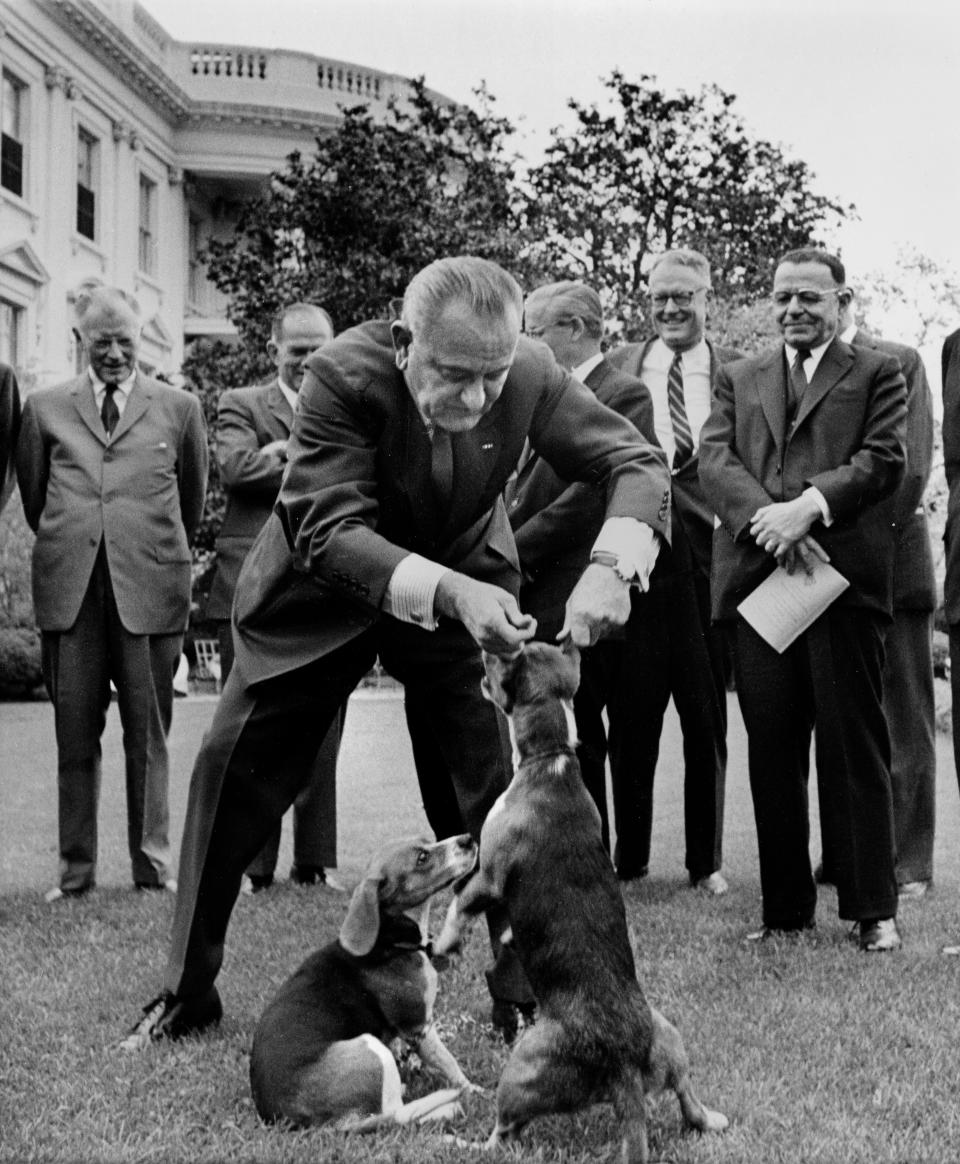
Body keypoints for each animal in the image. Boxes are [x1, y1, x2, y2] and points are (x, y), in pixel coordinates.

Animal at [251, 833, 479, 1131]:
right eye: (422, 858)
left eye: (428, 840)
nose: (468, 839)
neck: (389, 941)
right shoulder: (419, 1026)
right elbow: (449, 1062)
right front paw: (472, 1089)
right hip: (371, 1048)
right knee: (396, 1114)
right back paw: (445, 1105)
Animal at [435, 642, 726, 1159]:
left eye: (502, 658)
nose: (482, 647)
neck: (551, 758)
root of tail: (623, 1066)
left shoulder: (487, 876)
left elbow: (458, 906)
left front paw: (444, 945)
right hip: (669, 1037)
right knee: (687, 1097)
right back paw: (712, 1119)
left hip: (521, 1068)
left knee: (504, 1135)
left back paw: (459, 1141)